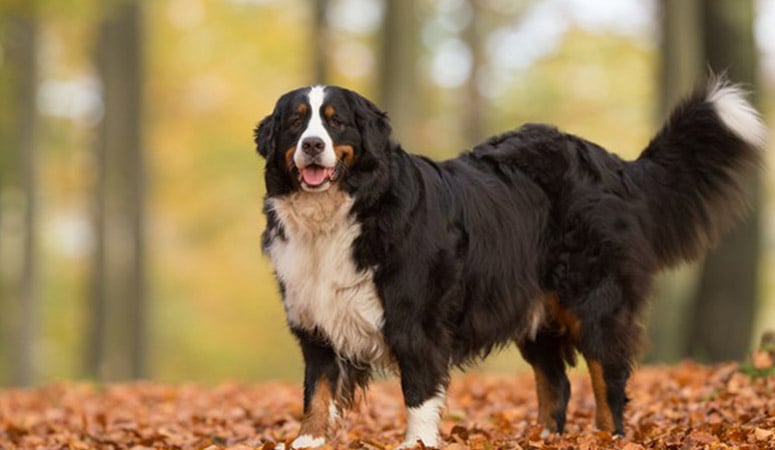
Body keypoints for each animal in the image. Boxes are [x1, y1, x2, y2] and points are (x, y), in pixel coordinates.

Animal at [253, 77, 764, 446]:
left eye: (335, 123)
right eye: (296, 123)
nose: (312, 145)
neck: (342, 214)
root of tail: (611, 163)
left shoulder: (416, 322)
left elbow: (418, 393)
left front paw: (415, 443)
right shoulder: (315, 317)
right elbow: (316, 390)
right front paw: (309, 440)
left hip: (594, 301)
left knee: (608, 378)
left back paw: (607, 437)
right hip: (535, 311)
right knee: (556, 382)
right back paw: (542, 437)